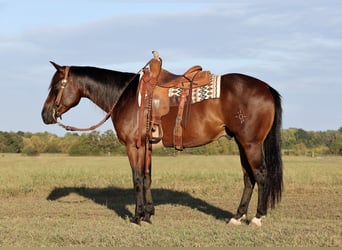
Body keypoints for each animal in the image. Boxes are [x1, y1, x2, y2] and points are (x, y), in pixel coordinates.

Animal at [41, 61, 282, 227]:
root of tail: (266, 88)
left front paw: (137, 217)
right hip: (242, 144)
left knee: (261, 175)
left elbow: (137, 178)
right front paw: (148, 214)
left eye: (56, 86)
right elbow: (147, 178)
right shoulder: (146, 146)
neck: (125, 96)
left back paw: (257, 218)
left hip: (250, 144)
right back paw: (237, 217)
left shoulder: (133, 146)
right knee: (248, 178)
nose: (45, 115)